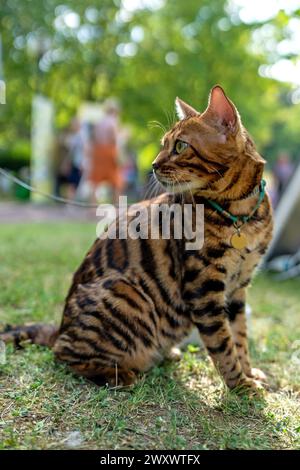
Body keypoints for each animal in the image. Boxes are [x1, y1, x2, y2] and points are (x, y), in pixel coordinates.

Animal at [0, 85, 272, 392]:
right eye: (164, 144)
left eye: (180, 146)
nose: (153, 164)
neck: (241, 212)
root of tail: (59, 327)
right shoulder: (203, 287)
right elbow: (223, 344)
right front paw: (241, 385)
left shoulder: (239, 286)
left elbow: (239, 337)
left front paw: (249, 373)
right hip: (126, 292)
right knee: (63, 354)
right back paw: (119, 374)